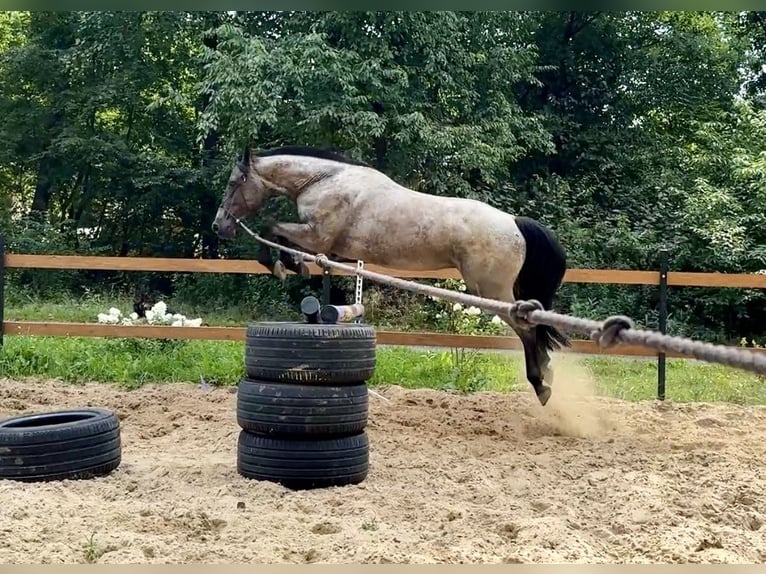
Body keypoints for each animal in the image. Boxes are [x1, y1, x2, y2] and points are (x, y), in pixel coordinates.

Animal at [213, 145, 572, 404]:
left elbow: (270, 229)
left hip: (492, 291)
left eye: (232, 184)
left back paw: (542, 384)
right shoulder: (329, 248)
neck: (325, 181)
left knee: (528, 328)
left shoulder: (317, 237)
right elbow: (280, 236)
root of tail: (513, 222)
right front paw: (294, 264)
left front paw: (284, 265)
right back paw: (547, 376)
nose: (220, 227)